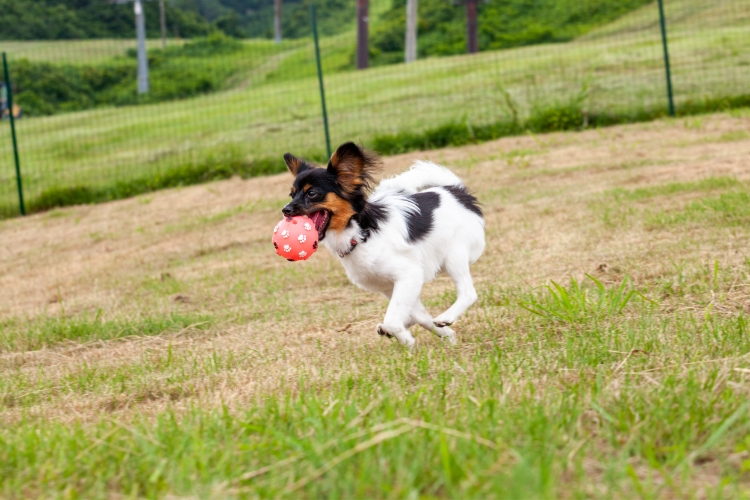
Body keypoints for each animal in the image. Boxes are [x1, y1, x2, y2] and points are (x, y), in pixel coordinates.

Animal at [282, 142, 488, 348]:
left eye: (312, 193)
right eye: (292, 194)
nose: (285, 210)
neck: (360, 234)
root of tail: (458, 191)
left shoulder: (409, 275)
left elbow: (394, 319)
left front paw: (407, 339)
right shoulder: (389, 285)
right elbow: (419, 316)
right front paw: (445, 335)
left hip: (454, 256)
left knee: (468, 292)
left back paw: (446, 317)